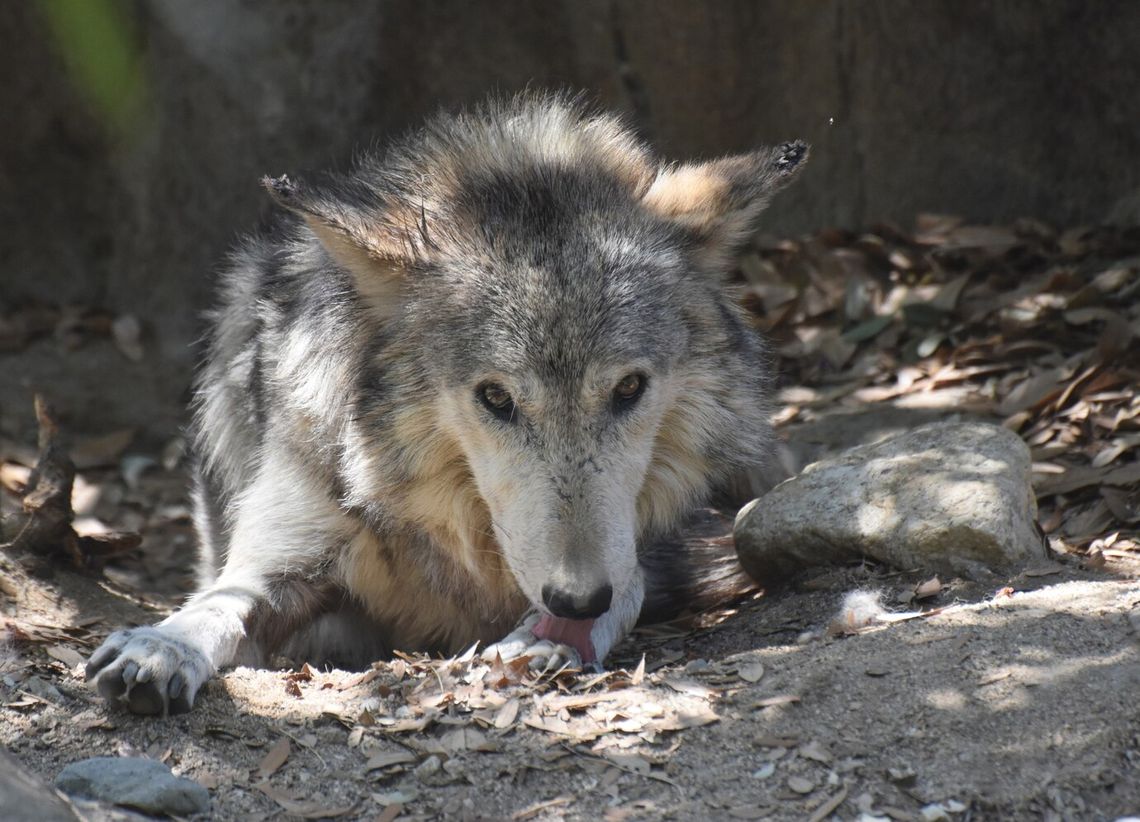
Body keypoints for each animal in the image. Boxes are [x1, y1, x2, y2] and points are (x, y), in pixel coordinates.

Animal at [84, 92, 807, 715]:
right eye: (495, 397)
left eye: (628, 388)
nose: (576, 598)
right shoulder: (290, 558)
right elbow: (220, 601)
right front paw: (162, 646)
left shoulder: (636, 551)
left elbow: (625, 589)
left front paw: (547, 639)